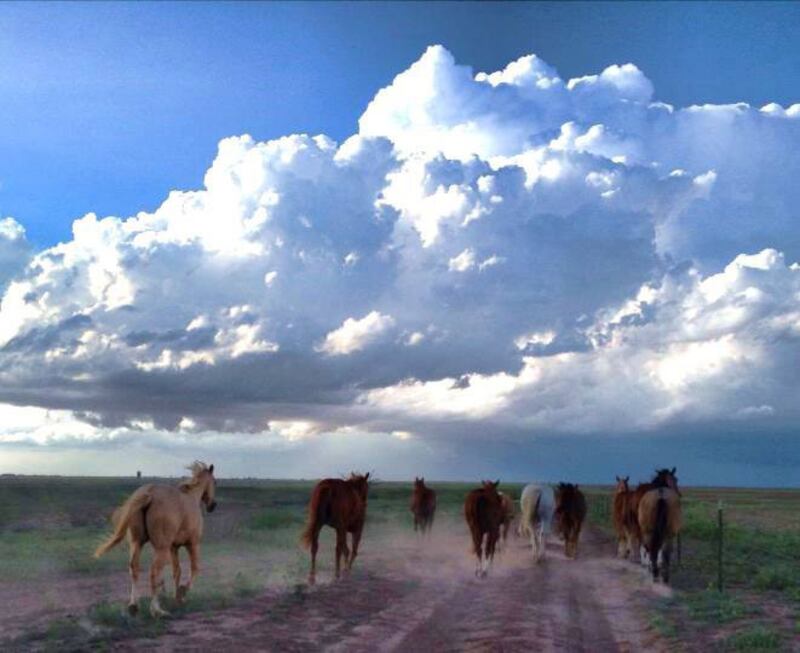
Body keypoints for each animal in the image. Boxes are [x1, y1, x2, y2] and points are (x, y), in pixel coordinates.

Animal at [94, 458, 217, 616]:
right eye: (215, 482)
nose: (213, 505)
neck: (191, 497)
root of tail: (149, 493)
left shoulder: (173, 547)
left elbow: (176, 571)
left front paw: (177, 598)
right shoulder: (192, 544)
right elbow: (195, 568)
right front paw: (182, 592)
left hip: (137, 543)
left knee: (134, 568)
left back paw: (133, 606)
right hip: (161, 549)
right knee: (154, 573)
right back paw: (156, 610)